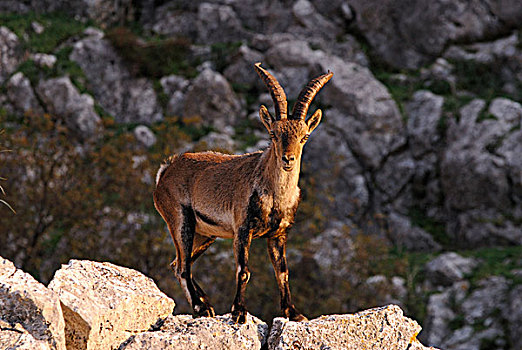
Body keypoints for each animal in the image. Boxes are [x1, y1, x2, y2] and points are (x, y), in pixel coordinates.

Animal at [152, 63, 332, 322]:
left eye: (304, 136)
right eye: (273, 134)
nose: (288, 159)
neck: (275, 196)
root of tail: (167, 170)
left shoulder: (278, 235)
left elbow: (283, 272)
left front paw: (293, 313)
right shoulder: (242, 229)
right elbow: (243, 270)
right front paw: (238, 311)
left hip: (205, 234)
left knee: (177, 264)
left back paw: (205, 304)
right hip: (179, 220)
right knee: (183, 267)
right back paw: (201, 307)